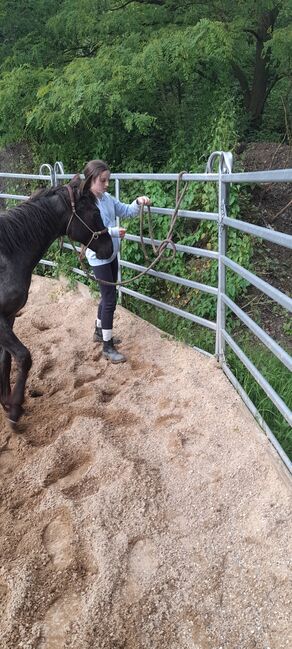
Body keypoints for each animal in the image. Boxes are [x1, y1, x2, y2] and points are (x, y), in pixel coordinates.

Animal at [0, 175, 113, 426]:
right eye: (95, 212)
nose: (109, 248)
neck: (6, 255)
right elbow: (24, 357)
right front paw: (15, 409)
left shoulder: (9, 316)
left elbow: (6, 359)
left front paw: (6, 401)